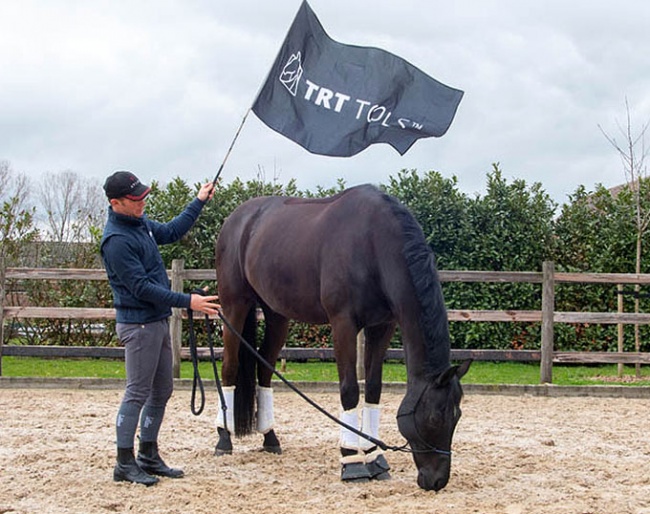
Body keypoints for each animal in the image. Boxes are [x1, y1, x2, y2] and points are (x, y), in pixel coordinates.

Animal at [215, 183, 468, 488]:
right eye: (434, 418)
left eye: (457, 416)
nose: (437, 480)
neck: (373, 243)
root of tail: (237, 219)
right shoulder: (343, 324)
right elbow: (349, 390)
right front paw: (351, 461)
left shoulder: (382, 326)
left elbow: (372, 388)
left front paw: (374, 457)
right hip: (234, 306)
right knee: (230, 367)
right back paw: (223, 439)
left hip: (277, 315)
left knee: (264, 370)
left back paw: (270, 438)